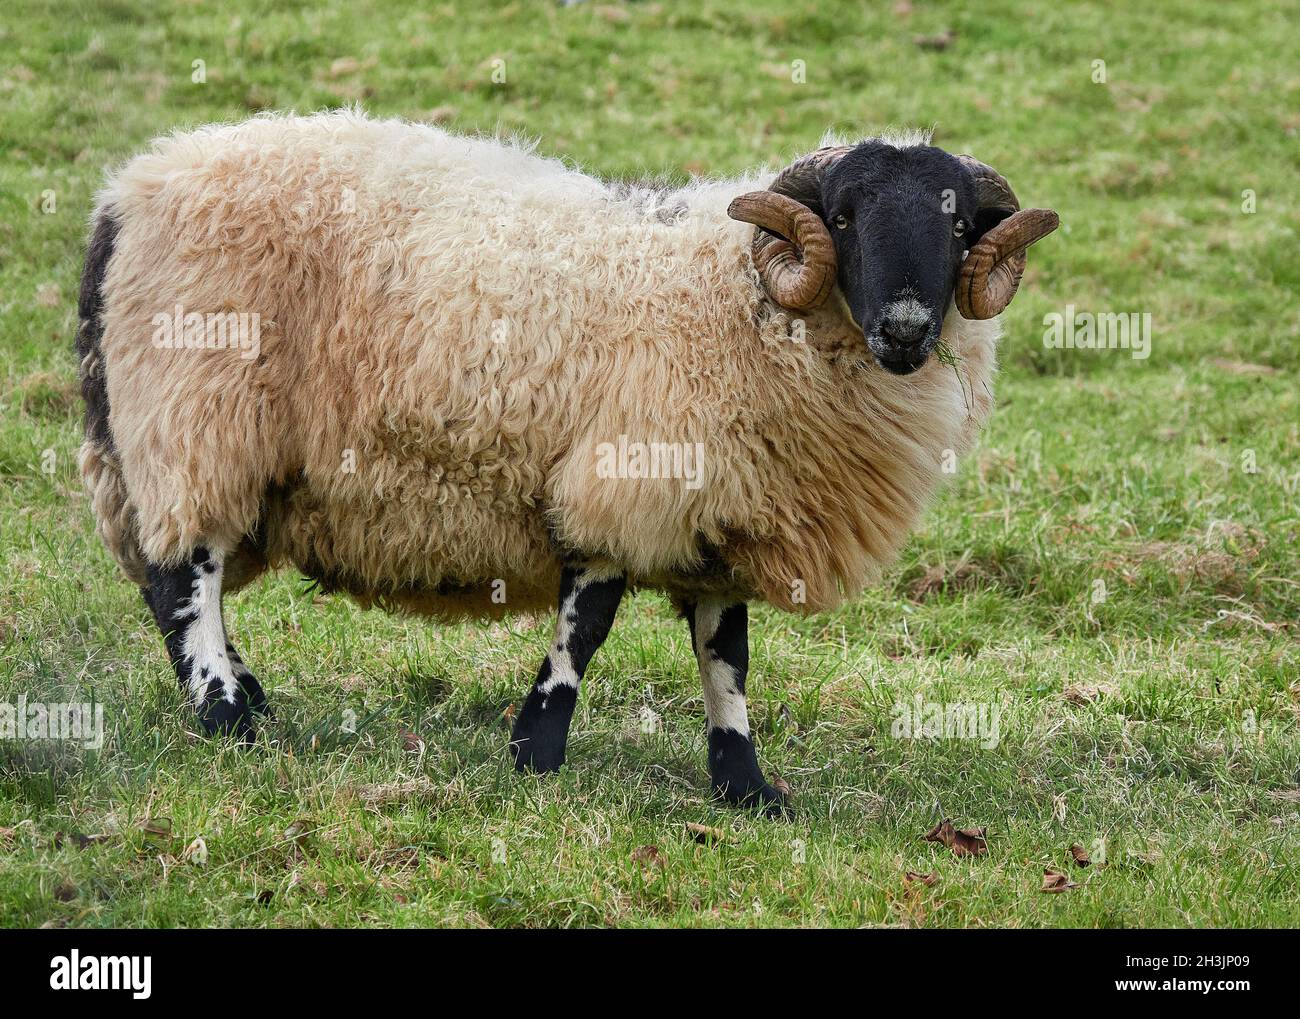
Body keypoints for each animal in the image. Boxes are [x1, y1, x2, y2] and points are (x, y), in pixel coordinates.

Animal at [77, 109, 1057, 812]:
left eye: (960, 226)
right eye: (845, 216)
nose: (905, 327)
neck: (733, 297)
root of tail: (130, 189)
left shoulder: (722, 508)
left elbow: (726, 654)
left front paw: (744, 784)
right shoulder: (620, 482)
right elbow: (587, 623)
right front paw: (536, 749)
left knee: (173, 578)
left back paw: (251, 697)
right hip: (195, 418)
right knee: (182, 578)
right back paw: (226, 718)